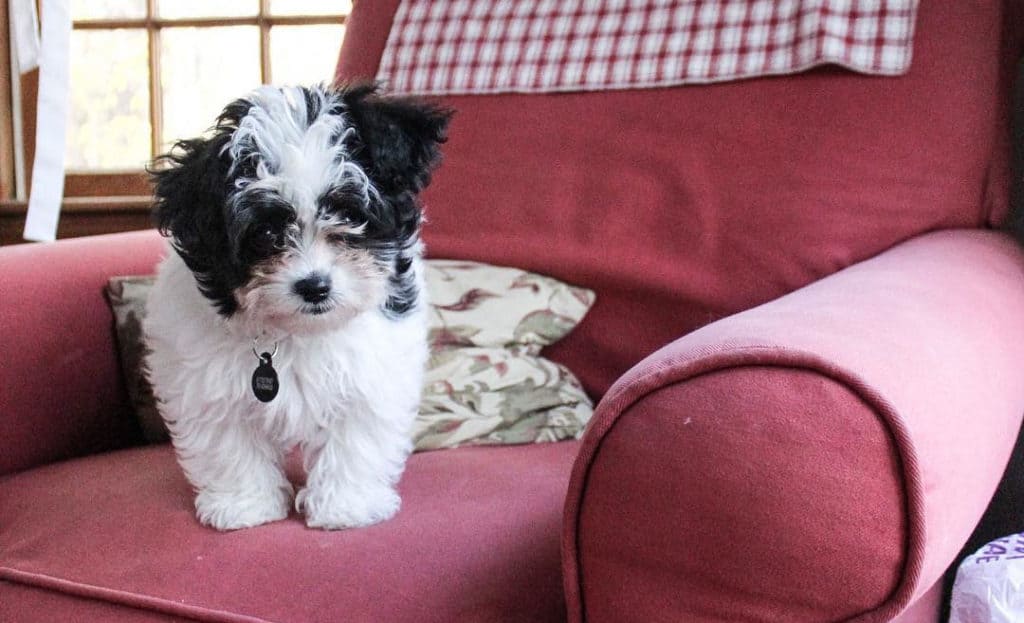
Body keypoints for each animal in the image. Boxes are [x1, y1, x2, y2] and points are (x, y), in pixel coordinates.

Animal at [144, 82, 452, 528]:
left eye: (348, 214)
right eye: (267, 232)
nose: (314, 286)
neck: (295, 330)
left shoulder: (371, 371)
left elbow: (355, 436)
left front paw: (346, 505)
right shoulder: (206, 379)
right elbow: (228, 440)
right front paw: (244, 505)